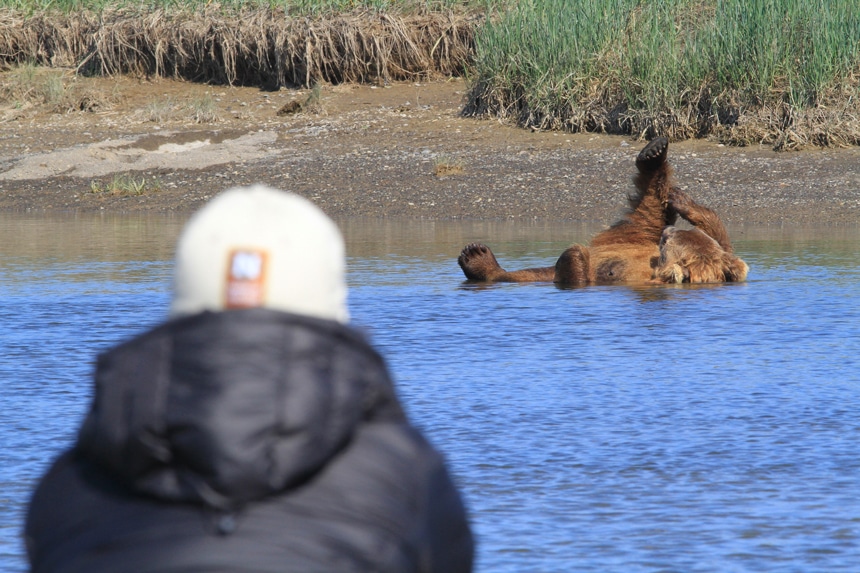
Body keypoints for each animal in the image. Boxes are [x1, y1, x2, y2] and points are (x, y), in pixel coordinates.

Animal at [457, 137, 748, 285]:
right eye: (675, 237)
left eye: (669, 243)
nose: (667, 230)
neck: (658, 268)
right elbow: (727, 246)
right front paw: (683, 200)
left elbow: (580, 271)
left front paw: (575, 257)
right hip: (633, 234)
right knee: (650, 205)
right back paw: (654, 153)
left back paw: (476, 257)